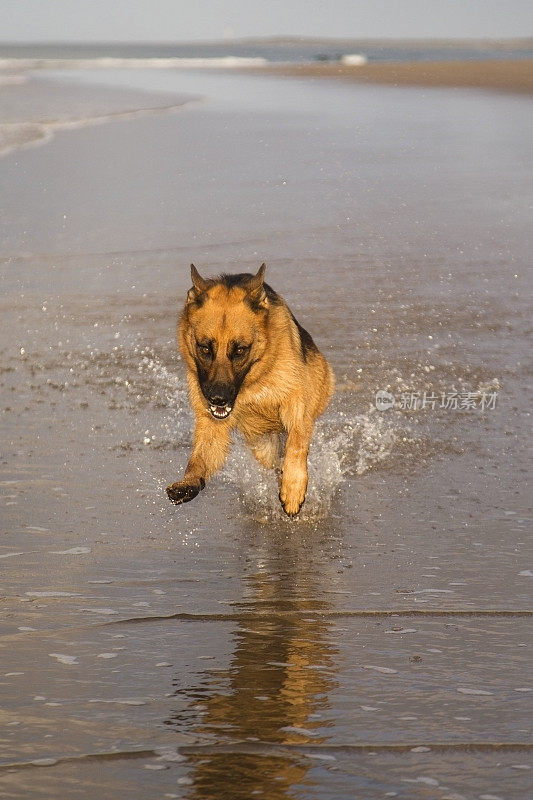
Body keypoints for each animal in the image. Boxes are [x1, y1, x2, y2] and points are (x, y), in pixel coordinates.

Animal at [165, 264, 332, 520]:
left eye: (240, 350)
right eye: (205, 348)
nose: (218, 398)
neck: (253, 382)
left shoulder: (297, 406)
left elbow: (297, 444)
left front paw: (293, 489)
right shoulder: (211, 424)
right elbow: (199, 458)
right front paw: (189, 482)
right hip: (262, 447)